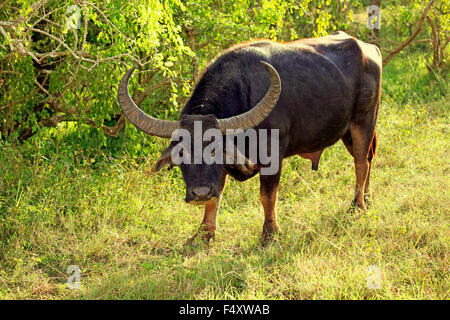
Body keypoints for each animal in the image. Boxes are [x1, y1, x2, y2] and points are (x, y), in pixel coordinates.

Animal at [118, 31, 382, 244]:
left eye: (215, 150)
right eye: (181, 152)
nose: (199, 193)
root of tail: (369, 48)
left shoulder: (272, 158)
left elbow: (267, 196)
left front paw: (270, 233)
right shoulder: (222, 171)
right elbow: (216, 198)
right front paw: (204, 233)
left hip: (363, 121)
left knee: (360, 162)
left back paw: (357, 205)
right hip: (347, 131)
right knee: (368, 159)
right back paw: (368, 199)